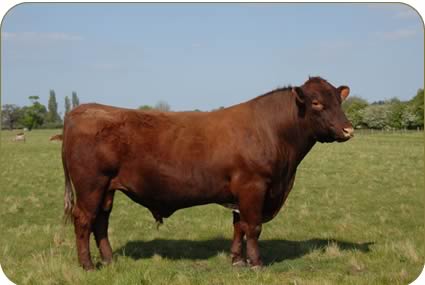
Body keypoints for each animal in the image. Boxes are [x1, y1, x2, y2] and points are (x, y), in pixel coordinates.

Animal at [62, 76, 354, 270]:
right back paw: (87, 265)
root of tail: (81, 110)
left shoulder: (240, 194)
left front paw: (237, 260)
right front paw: (257, 264)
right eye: (316, 103)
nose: (349, 129)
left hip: (107, 189)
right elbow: (253, 227)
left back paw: (109, 260)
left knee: (101, 221)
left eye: (339, 101)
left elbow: (239, 227)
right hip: (91, 186)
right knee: (84, 220)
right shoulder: (254, 187)